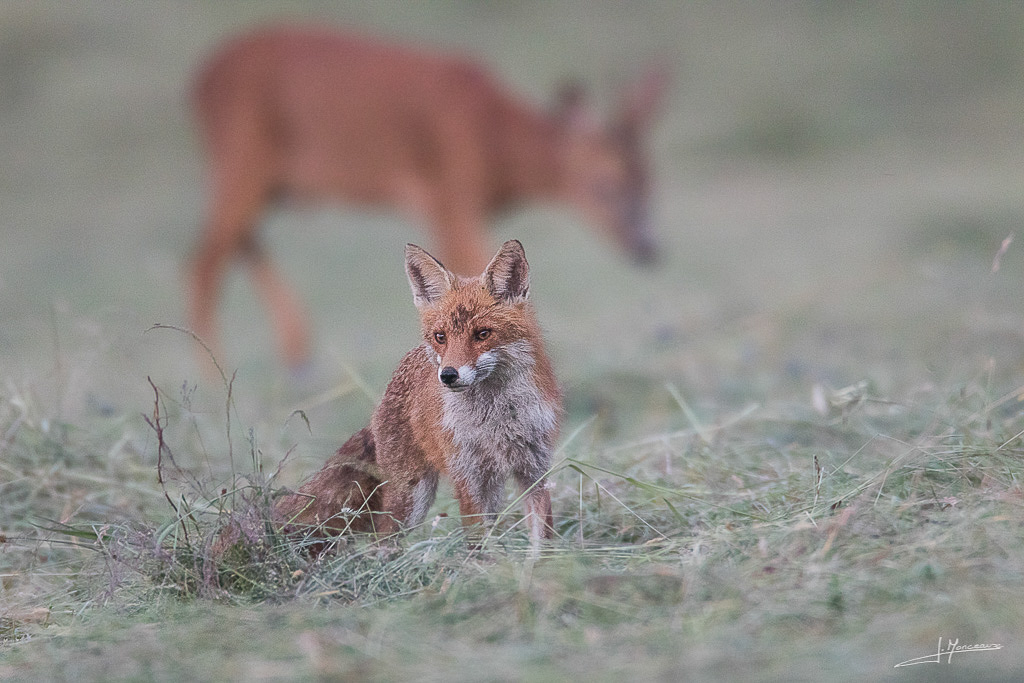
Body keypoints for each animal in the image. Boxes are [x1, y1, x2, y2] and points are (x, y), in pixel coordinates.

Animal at [274, 239, 561, 543]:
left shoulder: (534, 471)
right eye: (440, 337)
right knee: (382, 543)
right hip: (411, 498)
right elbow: (478, 542)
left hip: (487, 490)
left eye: (483, 334)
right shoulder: (468, 478)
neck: (496, 419)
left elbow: (542, 539)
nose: (448, 375)